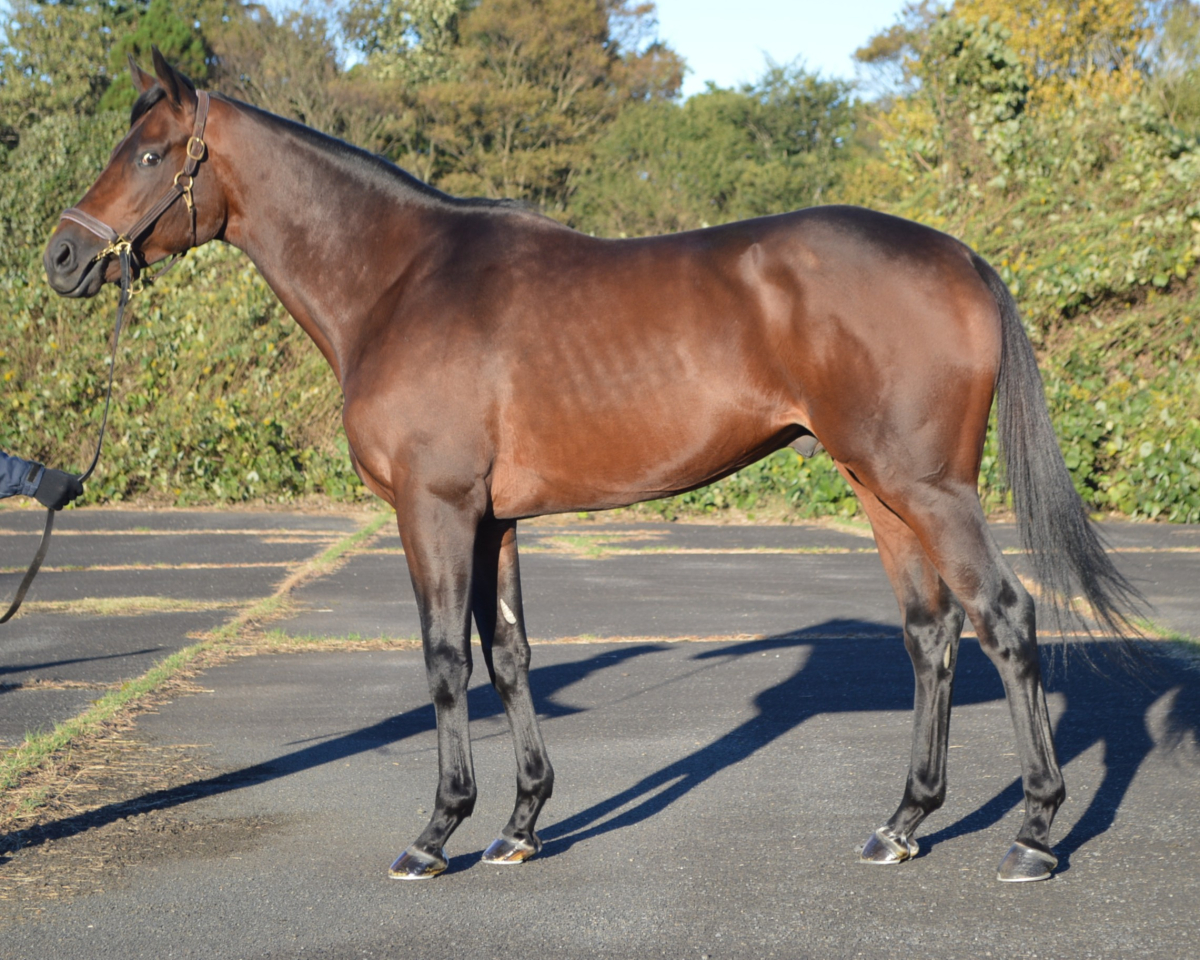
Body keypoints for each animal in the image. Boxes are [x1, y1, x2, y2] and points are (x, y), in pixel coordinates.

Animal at [43, 50, 1141, 883]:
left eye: (150, 153)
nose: (61, 259)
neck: (400, 281)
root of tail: (960, 257)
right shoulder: (494, 517)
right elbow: (509, 653)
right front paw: (521, 825)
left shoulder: (435, 509)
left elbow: (444, 660)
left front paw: (436, 832)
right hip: (881, 492)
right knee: (932, 637)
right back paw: (903, 823)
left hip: (929, 491)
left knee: (1007, 621)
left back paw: (1034, 834)